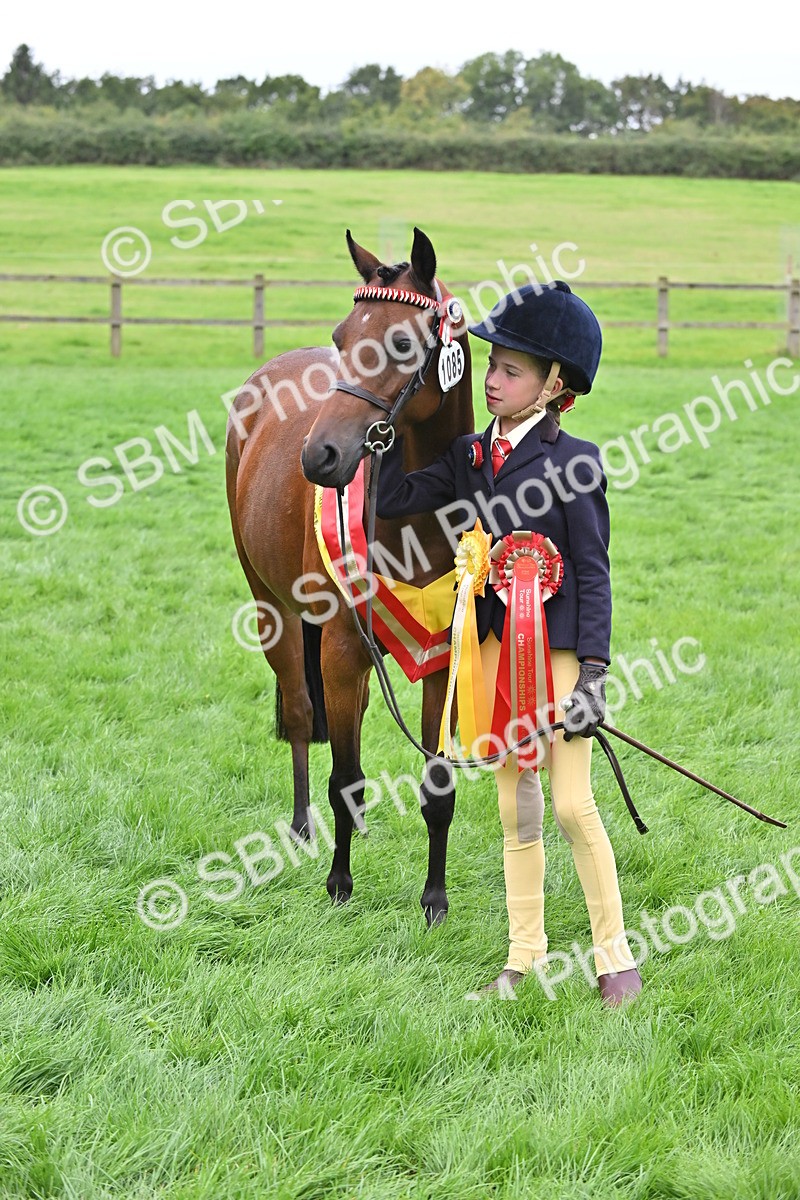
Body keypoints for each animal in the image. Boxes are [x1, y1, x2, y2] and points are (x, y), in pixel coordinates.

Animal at [225, 227, 474, 925]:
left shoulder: (441, 658)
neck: (416, 513)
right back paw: (303, 827)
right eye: (341, 336)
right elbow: (343, 775)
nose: (321, 456)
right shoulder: (336, 648)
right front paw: (339, 883)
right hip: (274, 611)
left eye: (401, 343)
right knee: (302, 714)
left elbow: (437, 782)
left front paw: (435, 899)